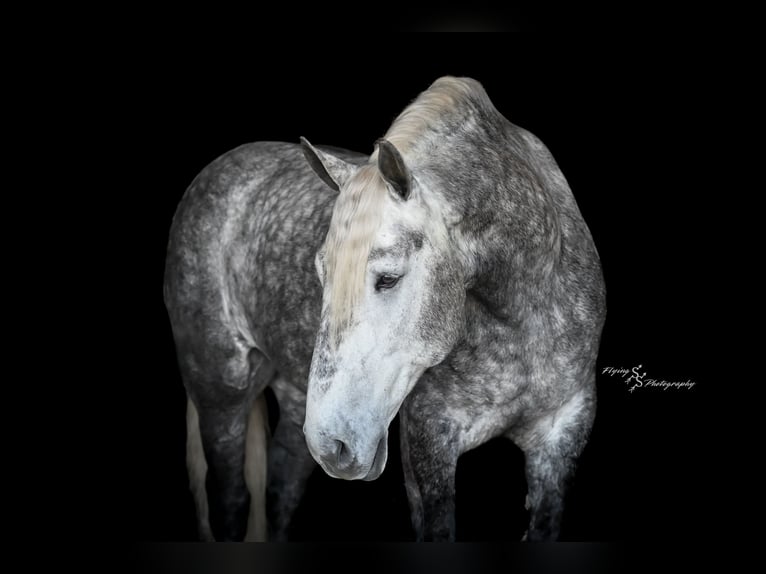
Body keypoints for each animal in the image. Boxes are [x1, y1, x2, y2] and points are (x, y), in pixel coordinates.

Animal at [163, 76, 606, 542]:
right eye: (320, 272)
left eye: (389, 278)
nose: (333, 443)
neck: (525, 319)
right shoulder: (430, 442)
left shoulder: (561, 437)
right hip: (221, 396)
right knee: (230, 500)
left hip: (295, 401)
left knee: (281, 490)